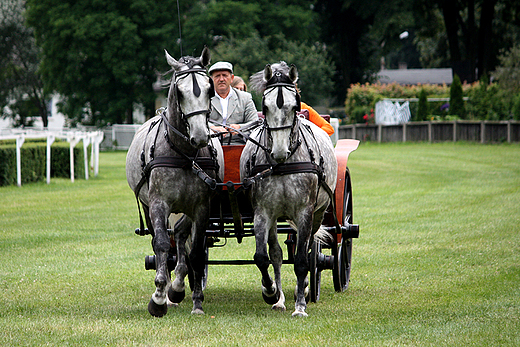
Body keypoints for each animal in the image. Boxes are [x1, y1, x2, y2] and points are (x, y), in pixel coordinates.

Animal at [127, 48, 223, 318]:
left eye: (209, 88)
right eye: (179, 92)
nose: (200, 137)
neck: (184, 154)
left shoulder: (202, 206)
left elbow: (197, 252)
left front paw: (196, 301)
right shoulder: (159, 203)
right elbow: (161, 244)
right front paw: (159, 297)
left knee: (181, 237)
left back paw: (179, 286)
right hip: (149, 206)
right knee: (163, 241)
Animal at [241, 61, 338, 318]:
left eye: (295, 107)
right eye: (265, 106)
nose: (278, 152)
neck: (283, 164)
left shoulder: (305, 212)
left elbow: (302, 260)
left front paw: (301, 305)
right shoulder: (263, 212)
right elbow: (263, 257)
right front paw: (271, 292)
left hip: (317, 213)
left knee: (309, 247)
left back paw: (302, 289)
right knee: (276, 253)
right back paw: (281, 298)